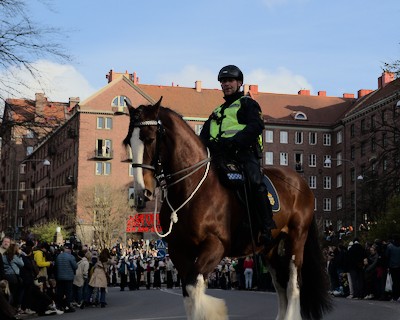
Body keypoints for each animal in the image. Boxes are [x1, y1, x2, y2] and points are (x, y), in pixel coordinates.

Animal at [123, 98, 332, 320]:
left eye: (150, 139)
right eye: (129, 141)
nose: (141, 192)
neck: (192, 186)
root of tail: (301, 183)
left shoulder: (216, 244)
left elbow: (193, 287)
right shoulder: (178, 249)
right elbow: (189, 291)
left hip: (296, 238)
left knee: (293, 285)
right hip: (270, 248)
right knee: (281, 284)